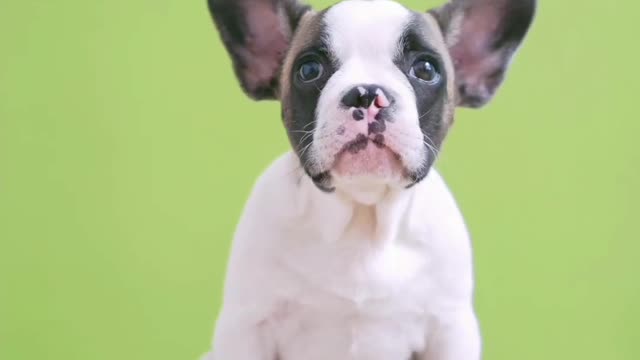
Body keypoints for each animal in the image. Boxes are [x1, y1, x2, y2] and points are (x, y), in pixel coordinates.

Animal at [204, 0, 536, 360]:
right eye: (309, 70)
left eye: (426, 69)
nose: (365, 93)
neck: (363, 219)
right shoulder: (248, 326)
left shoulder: (449, 329)